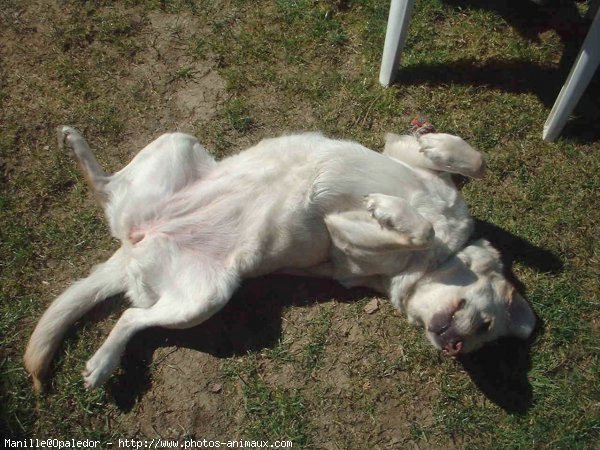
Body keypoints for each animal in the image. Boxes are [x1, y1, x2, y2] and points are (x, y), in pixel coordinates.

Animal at [24, 126, 536, 390]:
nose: (454, 346)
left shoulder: (347, 247)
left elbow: (415, 232)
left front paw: (394, 214)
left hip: (205, 296)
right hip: (178, 142)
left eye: (481, 337)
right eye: (486, 325)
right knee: (106, 186)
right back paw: (77, 146)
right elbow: (471, 166)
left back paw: (103, 361)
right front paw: (437, 149)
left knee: (131, 315)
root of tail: (133, 240)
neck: (448, 255)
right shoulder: (401, 156)